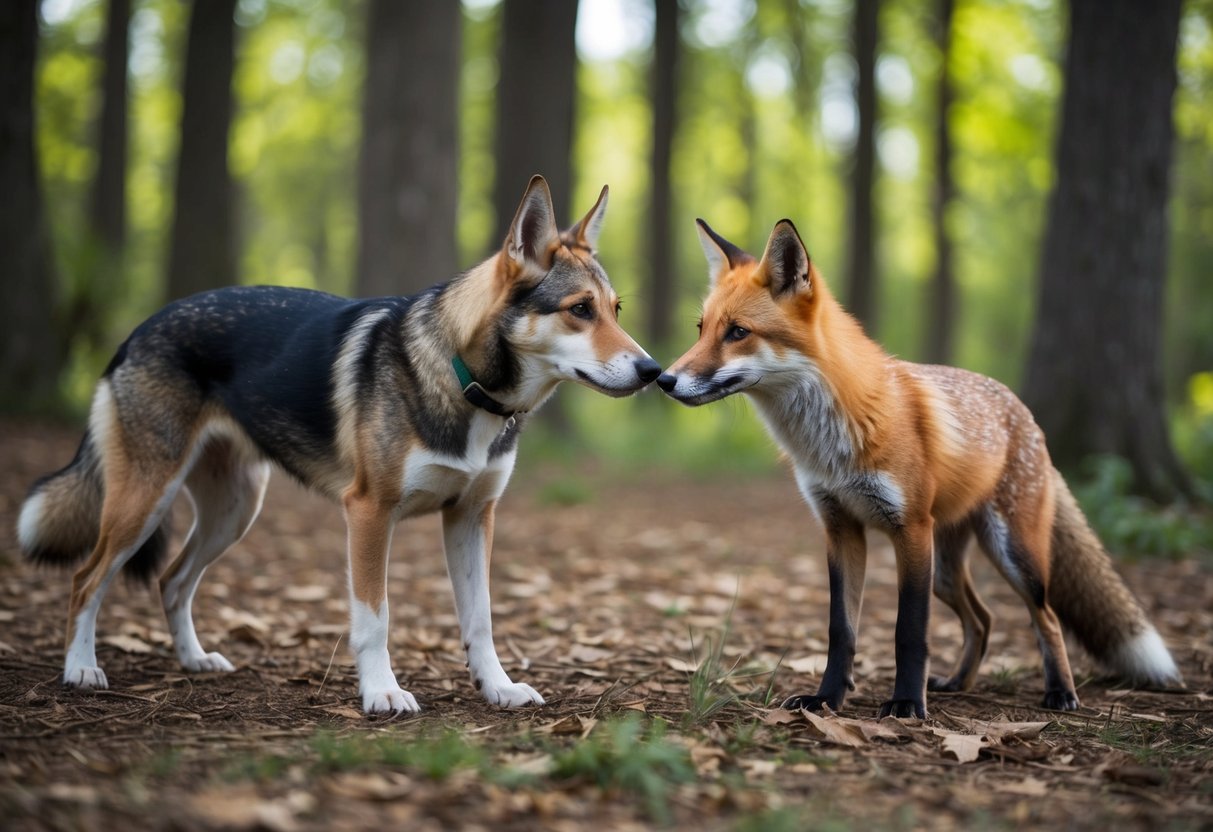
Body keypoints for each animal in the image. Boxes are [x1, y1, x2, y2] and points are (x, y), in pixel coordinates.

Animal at [17, 175, 661, 715]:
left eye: (615, 310)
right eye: (580, 310)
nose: (654, 371)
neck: (461, 378)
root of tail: (137, 331)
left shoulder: (473, 516)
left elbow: (480, 620)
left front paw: (497, 688)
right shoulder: (369, 514)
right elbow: (375, 619)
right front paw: (382, 694)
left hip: (233, 511)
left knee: (171, 580)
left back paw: (194, 660)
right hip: (145, 501)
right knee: (86, 579)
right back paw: (80, 669)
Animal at [657, 217, 1182, 718]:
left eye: (738, 332)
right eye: (700, 329)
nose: (664, 379)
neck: (832, 440)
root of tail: (1025, 413)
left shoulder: (908, 528)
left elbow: (909, 631)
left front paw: (907, 705)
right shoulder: (840, 528)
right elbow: (840, 630)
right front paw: (827, 699)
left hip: (1010, 554)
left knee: (1046, 618)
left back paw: (1061, 693)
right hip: (946, 567)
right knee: (983, 619)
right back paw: (958, 683)